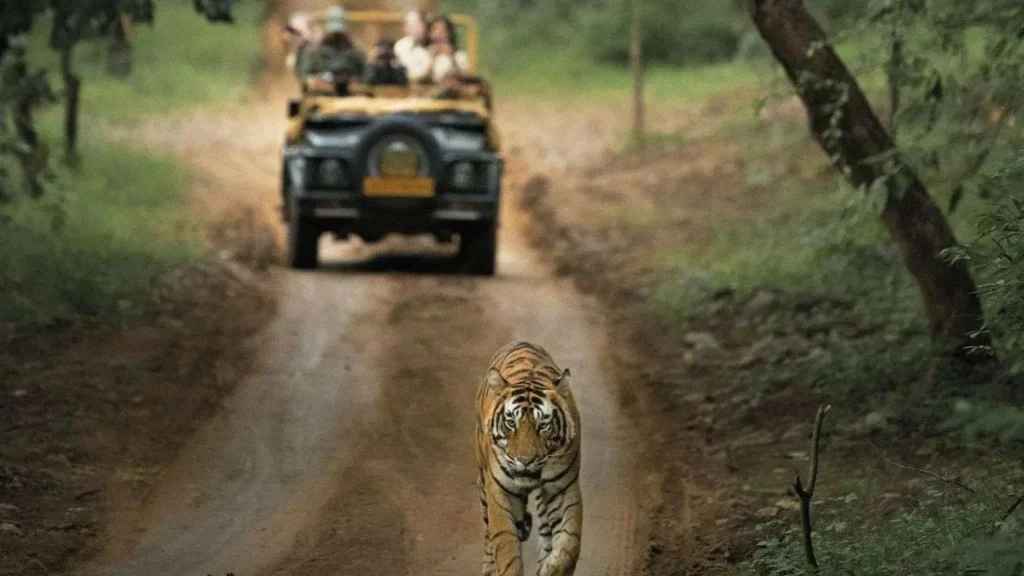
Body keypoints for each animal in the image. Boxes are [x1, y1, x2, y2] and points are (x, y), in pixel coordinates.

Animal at [476, 341, 583, 576]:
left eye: (543, 425)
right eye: (510, 423)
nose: (525, 460)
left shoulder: (563, 487)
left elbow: (570, 543)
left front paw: (552, 568)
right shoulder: (500, 491)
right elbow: (505, 546)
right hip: (483, 484)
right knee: (488, 533)